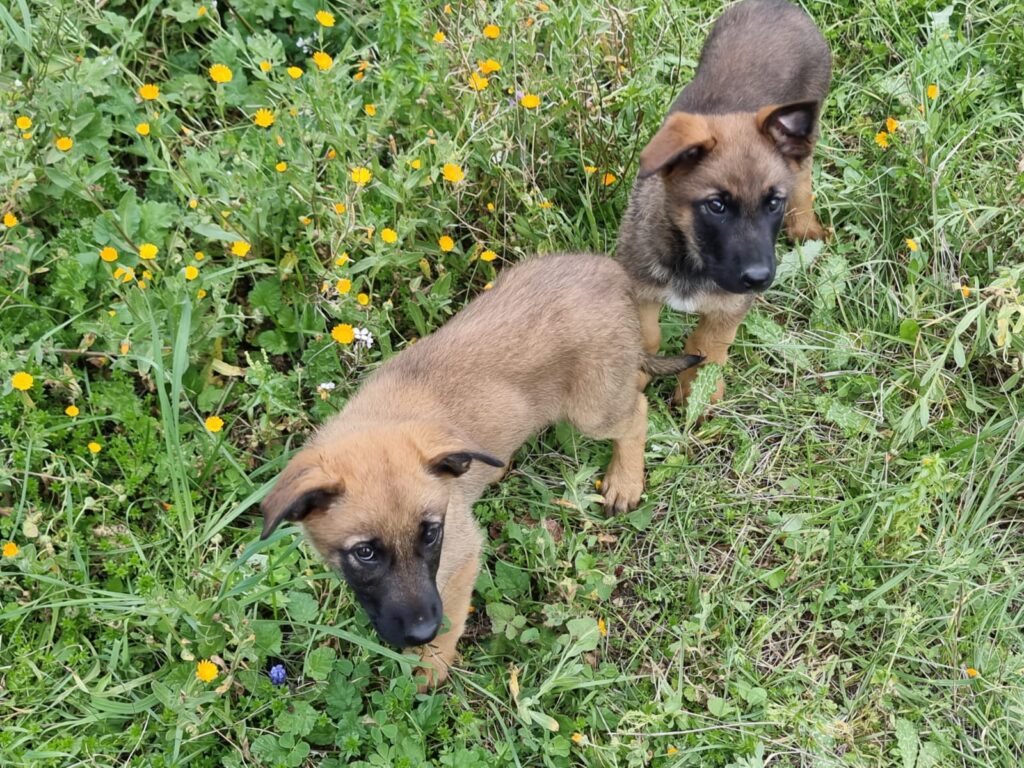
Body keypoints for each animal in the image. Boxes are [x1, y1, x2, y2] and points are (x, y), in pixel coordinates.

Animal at [260, 256, 700, 688]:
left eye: (431, 534)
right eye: (364, 553)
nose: (420, 632)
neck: (381, 420)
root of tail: (613, 271)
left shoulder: (461, 556)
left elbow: (450, 624)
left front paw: (429, 669)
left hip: (593, 410)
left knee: (637, 412)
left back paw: (625, 481)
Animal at [614, 0, 831, 409]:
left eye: (773, 203)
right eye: (716, 206)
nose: (759, 278)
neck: (692, 260)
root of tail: (780, 5)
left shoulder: (730, 307)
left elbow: (708, 346)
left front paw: (697, 397)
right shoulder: (639, 289)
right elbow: (648, 338)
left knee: (804, 177)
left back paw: (805, 226)